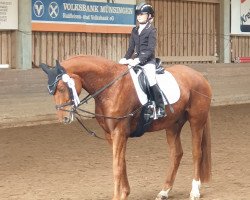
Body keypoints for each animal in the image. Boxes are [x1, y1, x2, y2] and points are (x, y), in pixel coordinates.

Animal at [40, 55, 212, 200]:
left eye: (62, 88)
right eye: (51, 91)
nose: (63, 118)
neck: (111, 87)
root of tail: (200, 76)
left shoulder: (119, 132)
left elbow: (116, 167)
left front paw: (117, 196)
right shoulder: (110, 134)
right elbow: (121, 163)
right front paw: (124, 193)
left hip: (196, 121)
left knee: (197, 153)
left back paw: (194, 191)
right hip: (172, 125)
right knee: (176, 154)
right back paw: (164, 191)